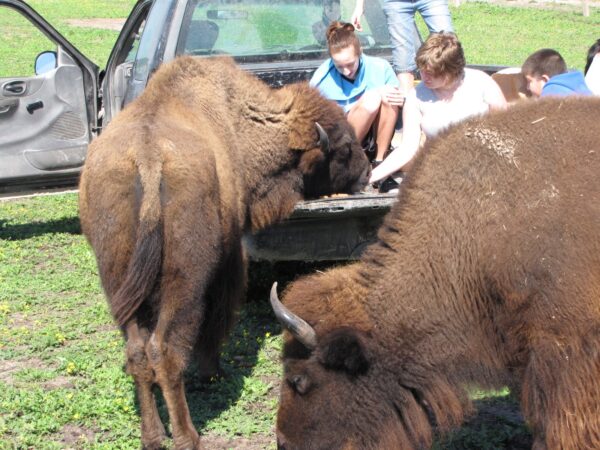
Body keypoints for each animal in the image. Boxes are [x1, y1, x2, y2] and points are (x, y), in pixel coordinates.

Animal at [78, 56, 370, 450]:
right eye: (342, 147)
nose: (366, 173)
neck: (237, 123)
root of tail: (148, 159)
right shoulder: (230, 257)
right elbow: (218, 316)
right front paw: (213, 372)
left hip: (118, 282)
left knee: (138, 353)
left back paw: (153, 437)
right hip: (184, 281)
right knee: (165, 351)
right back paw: (187, 436)